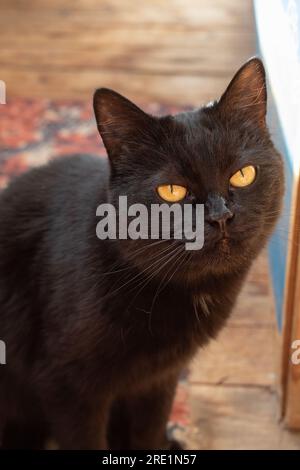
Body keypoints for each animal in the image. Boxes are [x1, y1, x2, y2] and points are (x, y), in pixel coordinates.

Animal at [0, 58, 284, 448]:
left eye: (243, 175)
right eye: (171, 191)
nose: (220, 216)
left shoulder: (158, 380)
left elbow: (149, 431)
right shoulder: (68, 389)